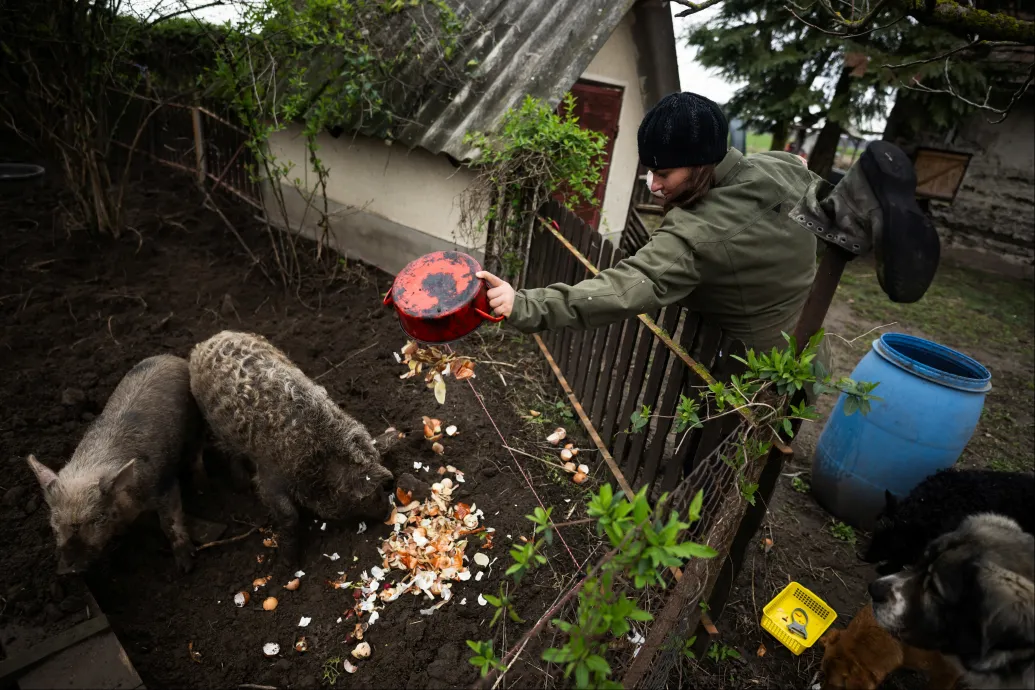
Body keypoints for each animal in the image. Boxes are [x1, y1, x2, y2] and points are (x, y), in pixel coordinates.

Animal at [27, 353, 202, 575]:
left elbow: (170, 521)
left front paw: (186, 567)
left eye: (98, 518)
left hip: (195, 423)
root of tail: (172, 357)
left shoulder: (164, 483)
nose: (67, 570)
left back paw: (200, 485)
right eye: (54, 523)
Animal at [188, 328, 397, 562]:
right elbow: (288, 514)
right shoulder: (268, 478)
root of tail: (209, 340)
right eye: (362, 494)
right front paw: (289, 560)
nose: (387, 511)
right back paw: (241, 485)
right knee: (231, 452)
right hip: (214, 423)